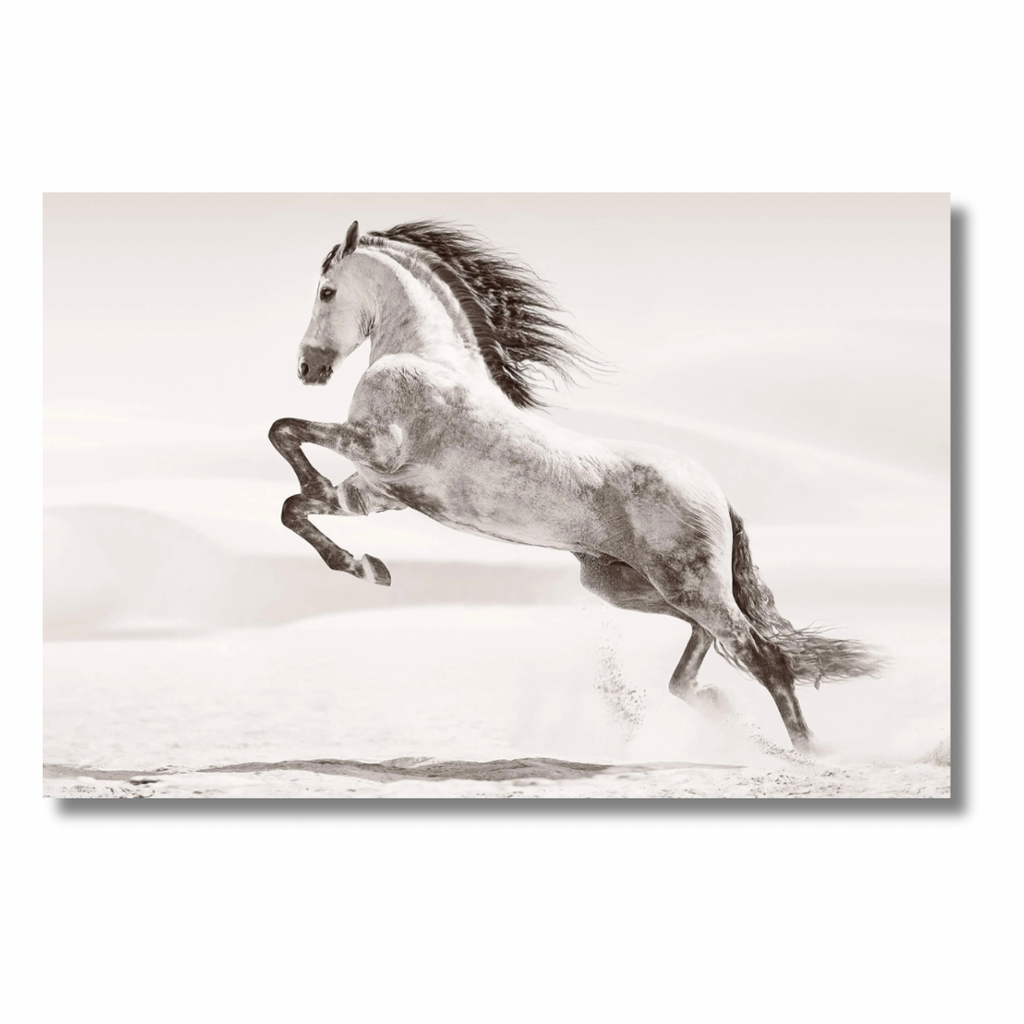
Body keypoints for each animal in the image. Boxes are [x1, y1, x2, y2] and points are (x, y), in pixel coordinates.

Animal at [269, 219, 880, 752]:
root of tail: (717, 493)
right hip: (626, 585)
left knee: (763, 656)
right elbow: (294, 506)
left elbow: (284, 431)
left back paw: (808, 751)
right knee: (707, 644)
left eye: (326, 291)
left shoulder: (377, 448)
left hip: (688, 584)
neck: (425, 358)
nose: (306, 368)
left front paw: (357, 552)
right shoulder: (375, 493)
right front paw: (367, 567)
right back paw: (717, 707)